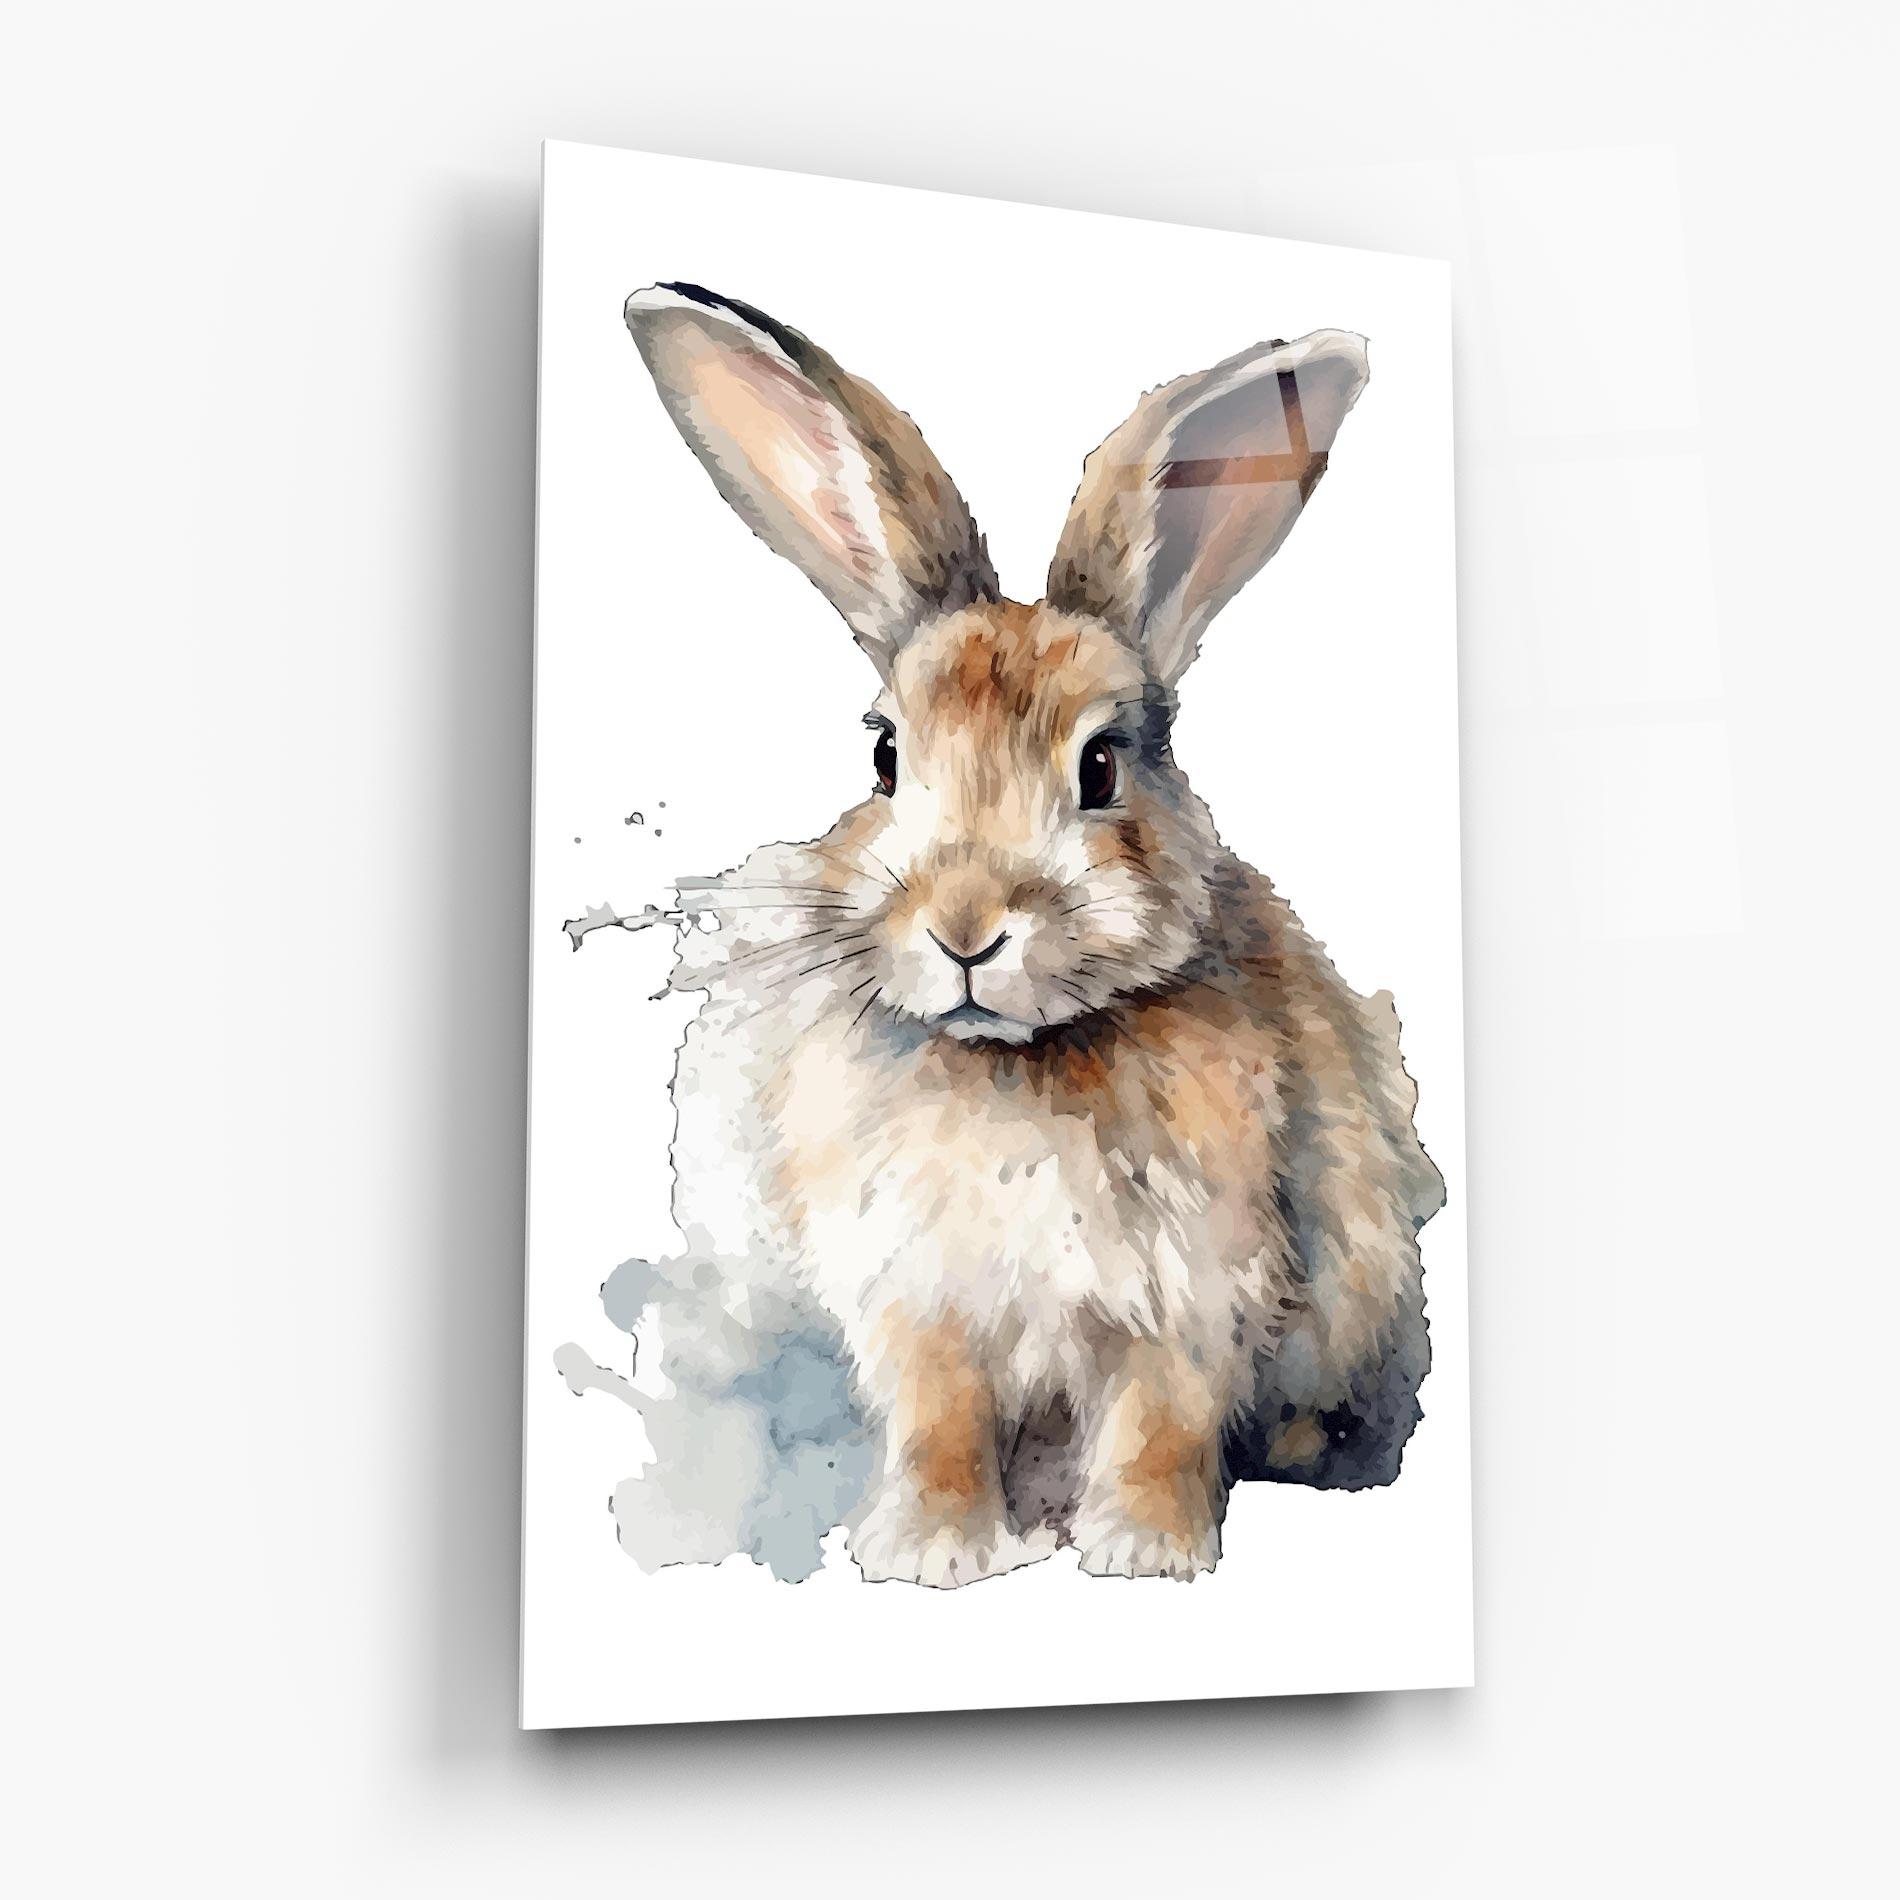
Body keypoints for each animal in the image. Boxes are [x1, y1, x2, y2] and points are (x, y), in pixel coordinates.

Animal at [622, 282, 1445, 1586]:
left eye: (1101, 766)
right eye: (884, 755)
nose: (965, 927)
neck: (1016, 1060)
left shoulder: (1191, 1294)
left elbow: (1161, 1422)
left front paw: (1145, 1553)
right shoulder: (924, 1304)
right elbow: (941, 1423)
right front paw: (927, 1551)